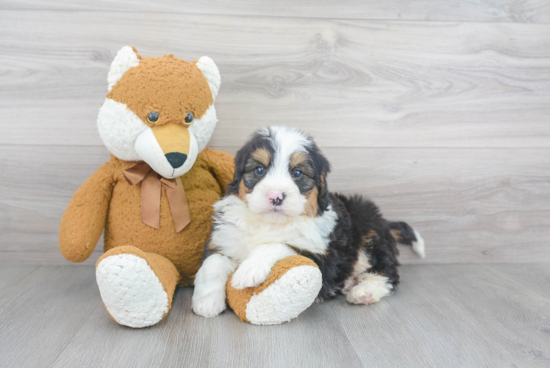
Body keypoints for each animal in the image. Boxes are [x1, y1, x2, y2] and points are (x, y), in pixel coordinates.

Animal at [192, 126, 424, 316]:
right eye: (259, 170)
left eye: (297, 173)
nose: (276, 197)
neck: (270, 223)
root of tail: (384, 222)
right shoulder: (225, 237)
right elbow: (214, 262)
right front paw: (206, 302)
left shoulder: (320, 253)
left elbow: (280, 244)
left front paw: (249, 270)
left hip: (367, 229)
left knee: (387, 272)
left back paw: (364, 291)